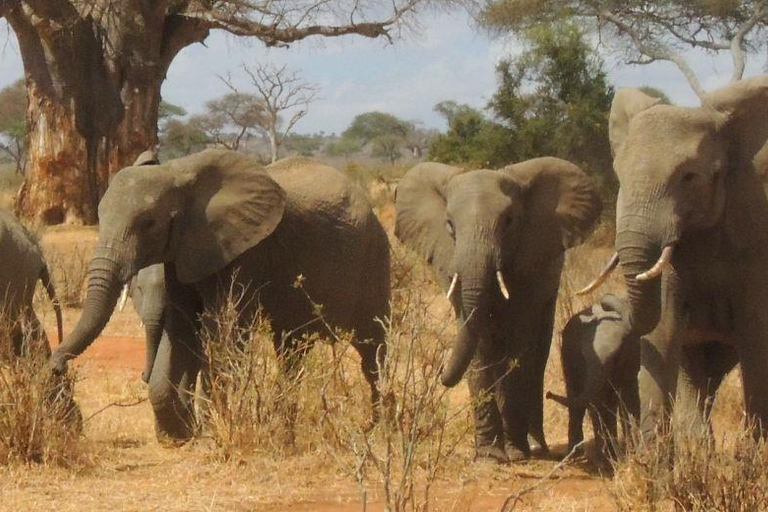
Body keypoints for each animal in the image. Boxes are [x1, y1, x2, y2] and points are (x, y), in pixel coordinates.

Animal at [48, 149, 392, 444]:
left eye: (149, 223)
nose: (55, 366)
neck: (178, 172)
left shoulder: (245, 251)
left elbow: (224, 331)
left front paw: (216, 431)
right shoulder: (182, 253)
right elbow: (181, 329)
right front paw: (181, 436)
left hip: (374, 255)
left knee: (372, 348)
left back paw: (377, 428)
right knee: (292, 349)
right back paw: (287, 428)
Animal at [392, 158, 604, 462]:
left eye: (509, 221)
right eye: (449, 226)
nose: (440, 371)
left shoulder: (531, 264)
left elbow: (519, 341)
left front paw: (515, 454)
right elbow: (478, 345)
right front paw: (490, 456)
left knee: (537, 353)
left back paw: (535, 445)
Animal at [544, 294, 640, 462]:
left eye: (616, 356)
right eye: (583, 355)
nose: (547, 393)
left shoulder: (632, 359)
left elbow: (629, 399)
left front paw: (631, 455)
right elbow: (597, 403)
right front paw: (608, 461)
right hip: (567, 357)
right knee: (578, 396)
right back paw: (575, 456)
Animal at [580, 76, 768, 440]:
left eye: (689, 177)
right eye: (620, 177)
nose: (604, 305)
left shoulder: (757, 241)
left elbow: (757, 339)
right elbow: (662, 329)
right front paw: (652, 456)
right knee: (696, 371)